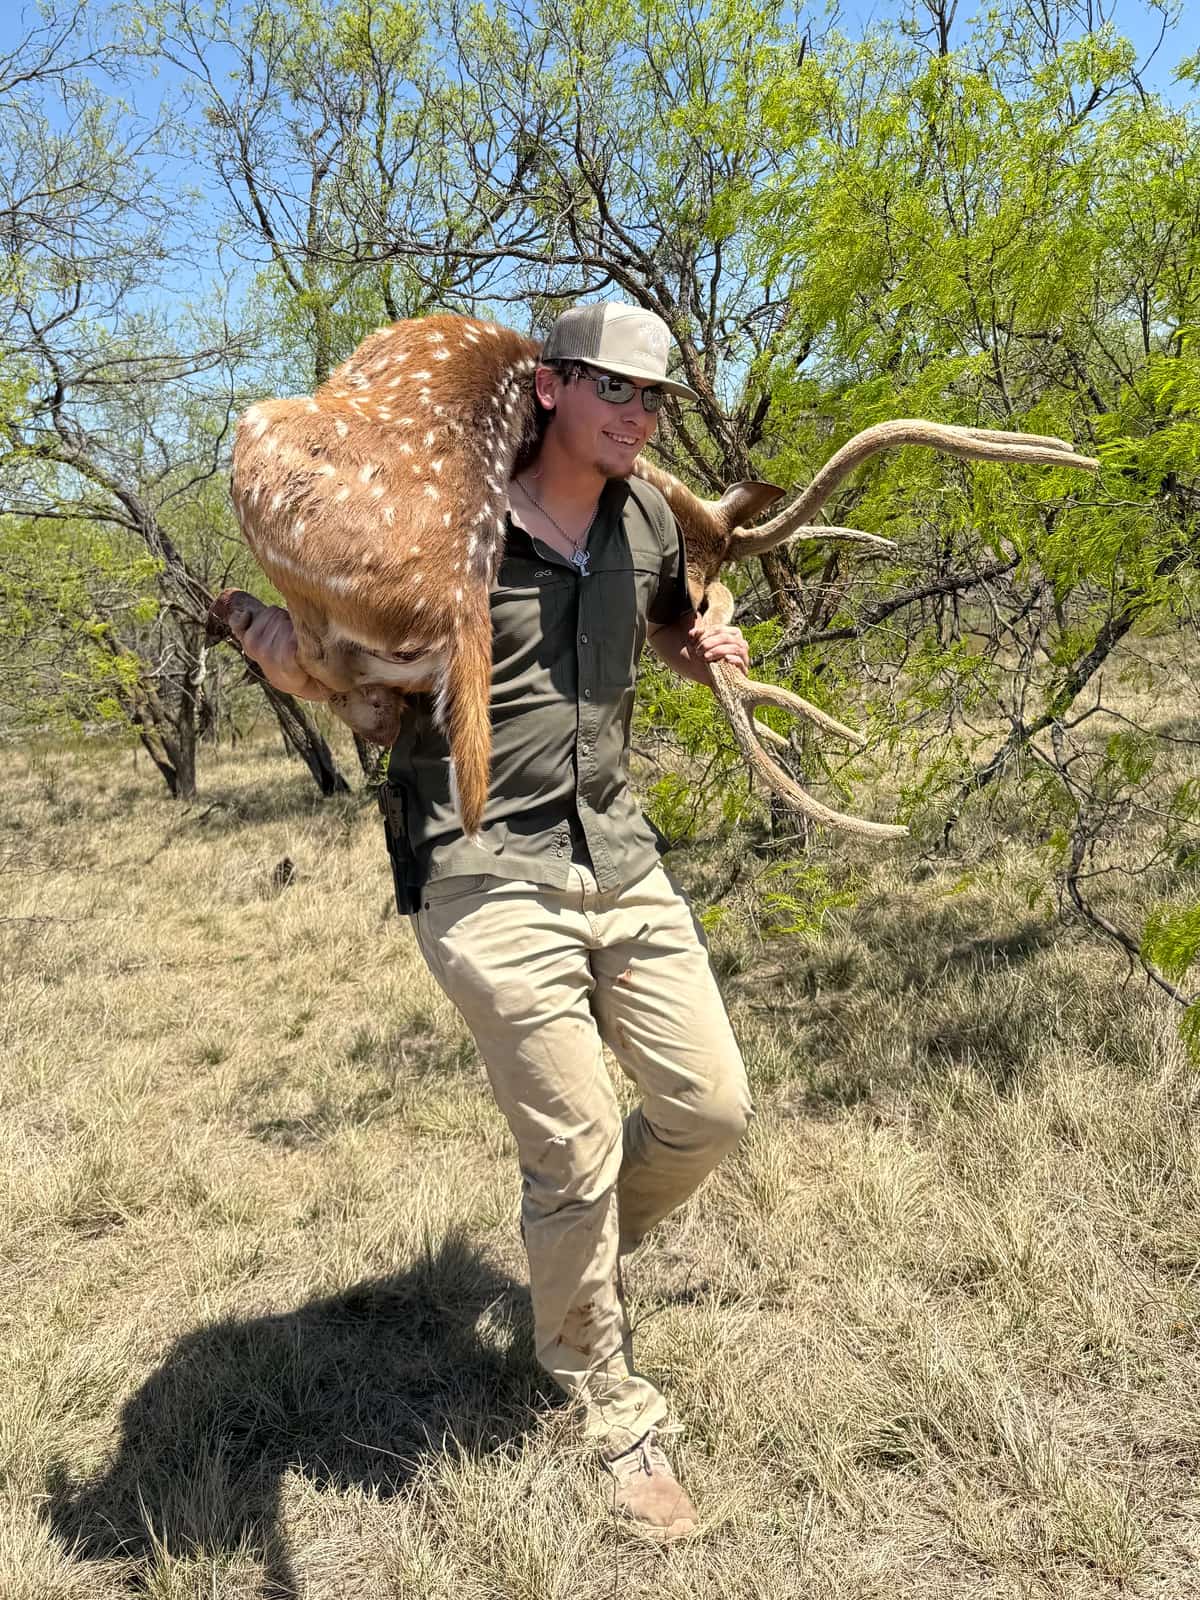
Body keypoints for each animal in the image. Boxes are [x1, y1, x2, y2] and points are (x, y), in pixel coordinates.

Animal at [212, 313, 1099, 840]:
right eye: (698, 591)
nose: (698, 612)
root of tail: (461, 599)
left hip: (255, 438)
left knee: (324, 664)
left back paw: (246, 612)